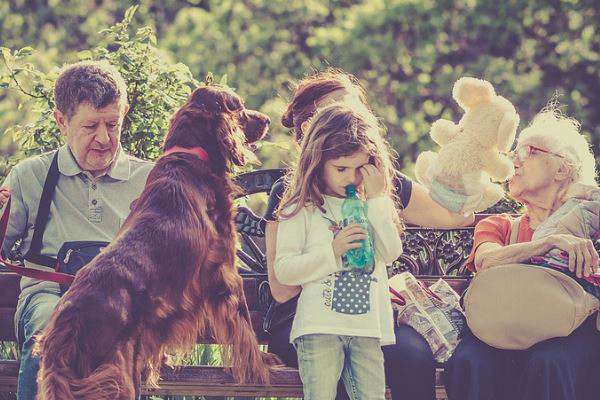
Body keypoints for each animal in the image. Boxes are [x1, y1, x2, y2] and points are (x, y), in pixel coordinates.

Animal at [33, 83, 276, 396]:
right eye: (240, 107)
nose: (267, 120)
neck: (190, 155)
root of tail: (67, 324)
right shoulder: (224, 271)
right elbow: (245, 325)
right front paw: (262, 364)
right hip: (117, 374)